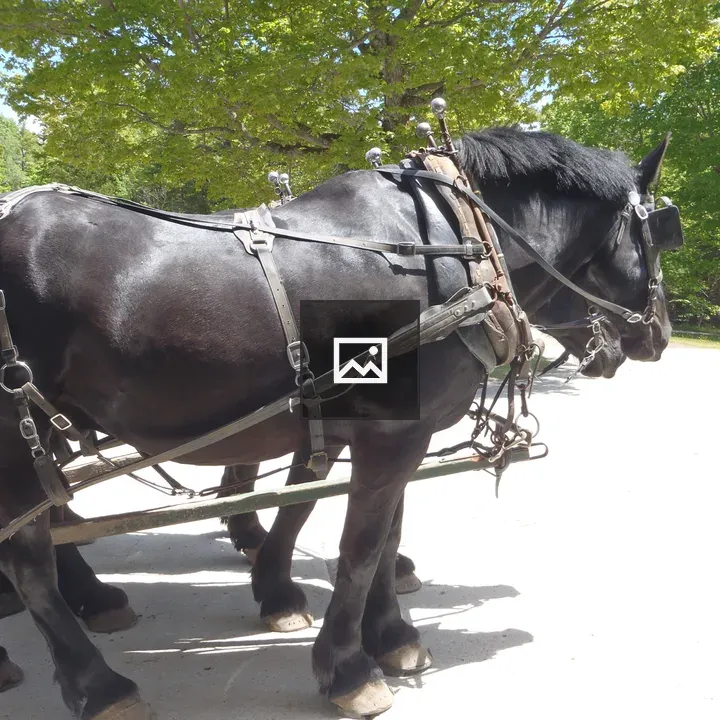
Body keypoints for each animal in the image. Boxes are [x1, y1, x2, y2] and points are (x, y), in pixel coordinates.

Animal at [0, 127, 673, 719]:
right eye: (662, 235)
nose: (660, 335)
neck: (455, 246)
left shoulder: (385, 429)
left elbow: (372, 529)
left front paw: (389, 634)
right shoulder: (391, 435)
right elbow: (361, 544)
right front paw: (349, 669)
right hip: (18, 432)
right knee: (29, 558)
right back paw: (98, 683)